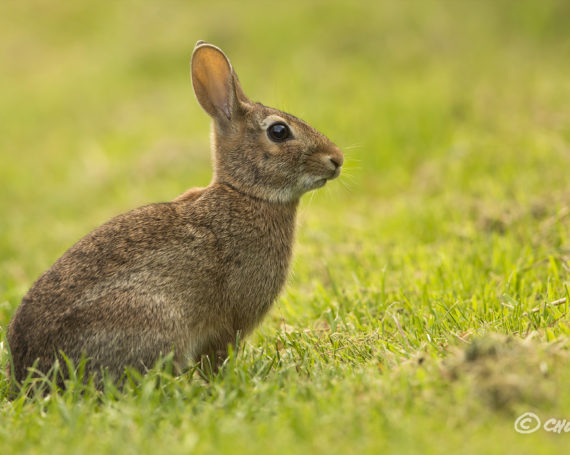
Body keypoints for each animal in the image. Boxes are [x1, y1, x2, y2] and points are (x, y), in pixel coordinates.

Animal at [6, 40, 342, 384]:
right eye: (279, 131)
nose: (337, 159)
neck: (246, 193)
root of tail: (30, 374)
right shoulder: (228, 323)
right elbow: (217, 357)